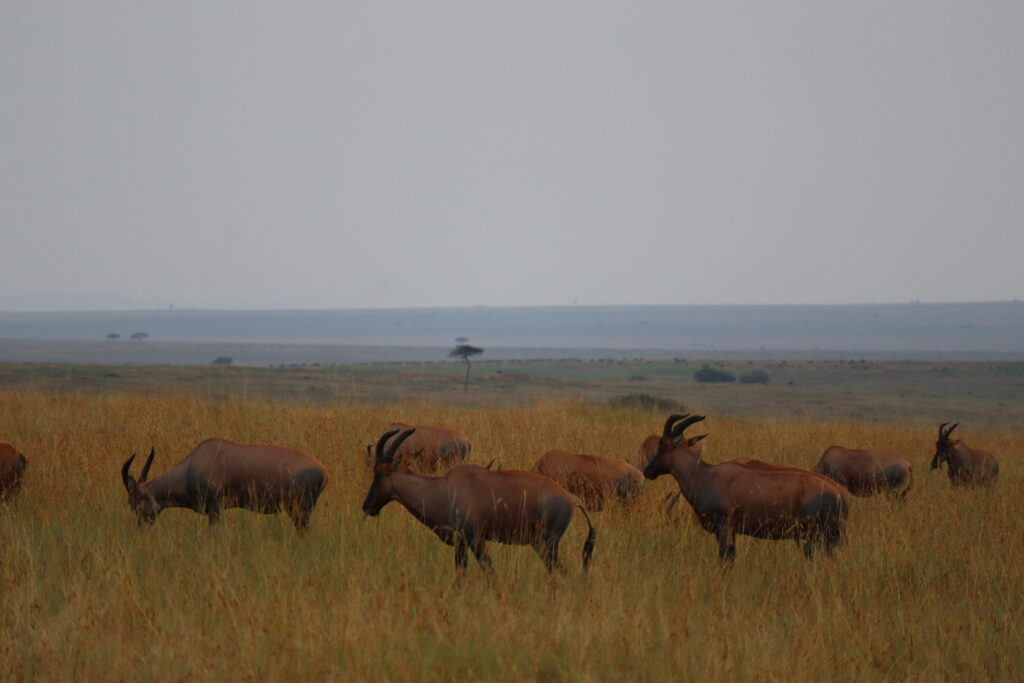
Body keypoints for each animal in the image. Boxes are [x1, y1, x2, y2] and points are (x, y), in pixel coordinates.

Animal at [119, 440, 327, 532]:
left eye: (134, 501)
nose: (141, 529)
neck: (192, 466)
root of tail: (323, 470)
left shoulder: (215, 507)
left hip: (299, 509)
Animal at [362, 430, 598, 573]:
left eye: (380, 472)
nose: (367, 506)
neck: (445, 488)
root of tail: (572, 499)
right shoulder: (461, 543)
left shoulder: (476, 539)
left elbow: (489, 570)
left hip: (547, 543)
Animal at [643, 417, 851, 565]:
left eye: (663, 446)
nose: (647, 471)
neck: (705, 474)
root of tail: (840, 494)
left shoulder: (724, 526)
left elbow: (725, 559)